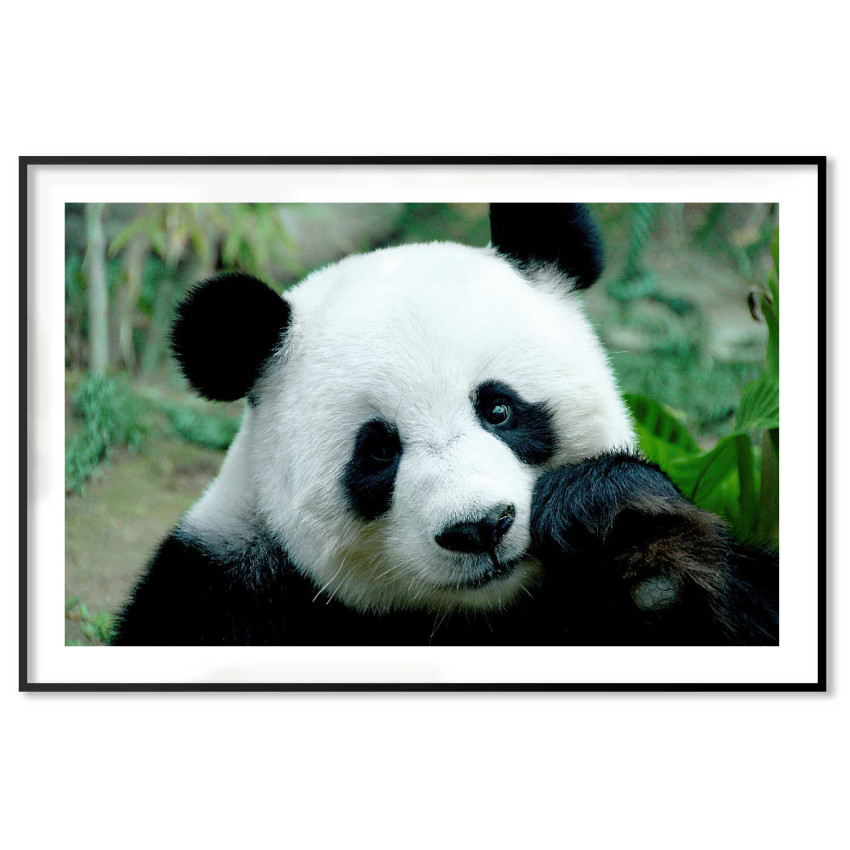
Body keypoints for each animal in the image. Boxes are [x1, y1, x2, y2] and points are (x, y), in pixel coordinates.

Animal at [112, 203, 778, 646]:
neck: (483, 613)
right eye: (379, 451)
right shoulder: (225, 595)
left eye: (499, 409)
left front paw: (624, 532)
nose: (479, 528)